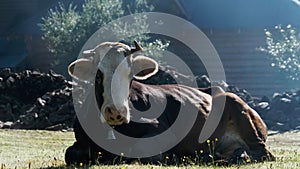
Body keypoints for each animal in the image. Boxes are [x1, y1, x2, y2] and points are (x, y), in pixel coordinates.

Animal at [64, 41, 276, 165]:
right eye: (97, 74)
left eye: (130, 74)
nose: (116, 111)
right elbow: (69, 154)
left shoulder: (161, 130)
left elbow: (142, 151)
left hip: (240, 111)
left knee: (262, 153)